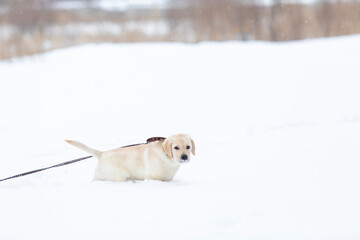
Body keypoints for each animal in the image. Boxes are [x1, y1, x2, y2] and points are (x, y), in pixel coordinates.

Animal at [64, 133, 194, 182]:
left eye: (188, 147)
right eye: (176, 147)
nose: (184, 157)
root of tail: (102, 153)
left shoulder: (168, 179)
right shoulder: (151, 178)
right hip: (118, 176)